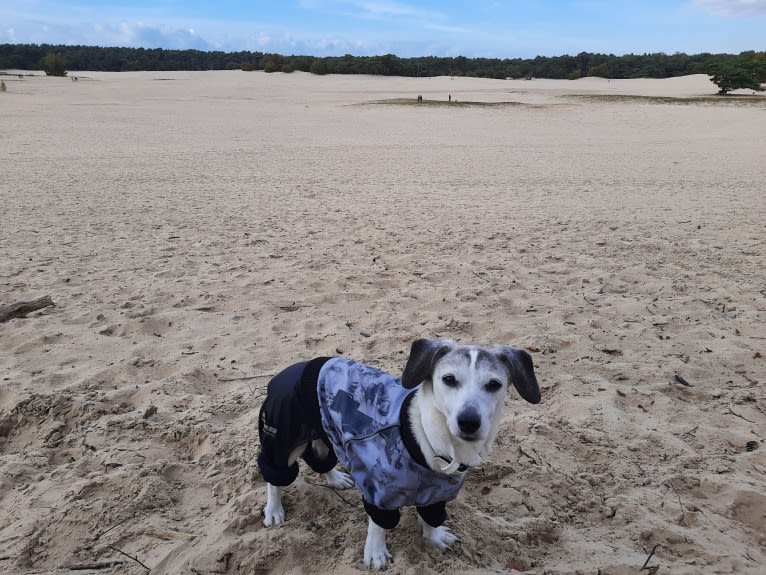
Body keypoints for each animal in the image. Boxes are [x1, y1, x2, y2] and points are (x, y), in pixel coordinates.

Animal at [258, 340, 540, 568]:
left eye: (494, 384)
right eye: (449, 379)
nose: (468, 421)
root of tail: (292, 369)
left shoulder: (438, 494)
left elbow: (431, 517)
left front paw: (434, 536)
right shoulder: (380, 492)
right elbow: (378, 524)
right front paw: (375, 552)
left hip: (327, 431)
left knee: (321, 460)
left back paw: (335, 479)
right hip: (282, 437)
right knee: (275, 476)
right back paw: (274, 509)